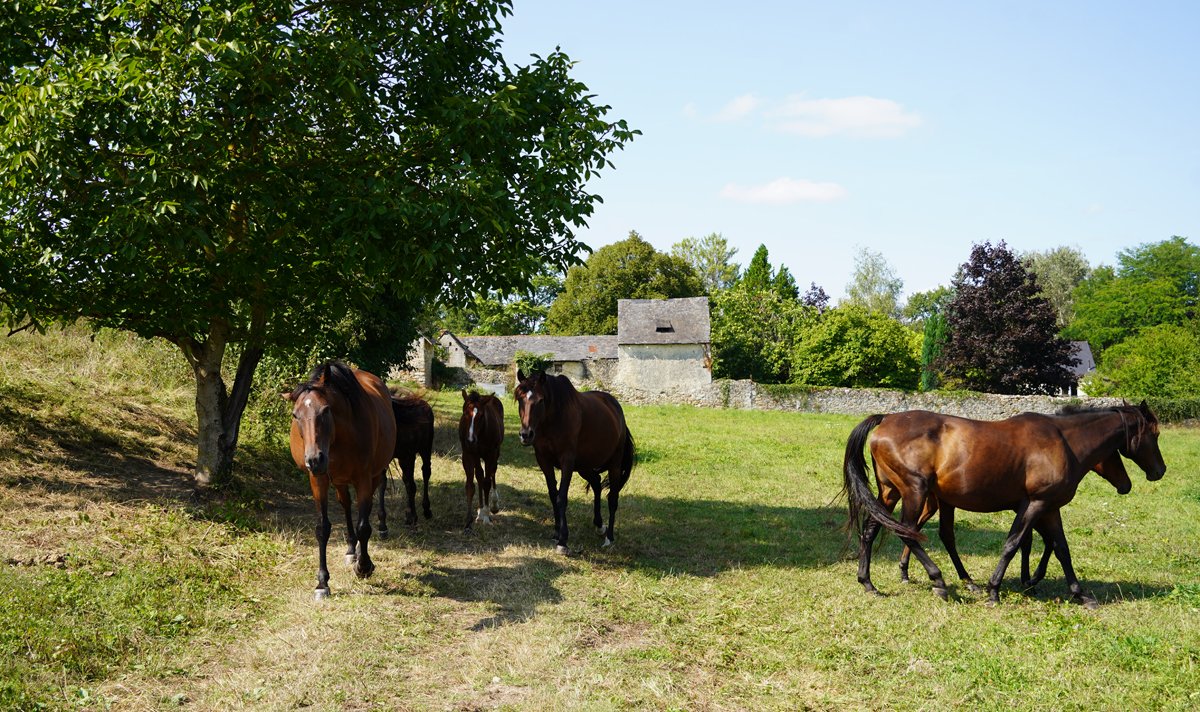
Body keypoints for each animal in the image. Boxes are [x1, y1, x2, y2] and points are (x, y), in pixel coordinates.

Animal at [284, 361, 396, 600]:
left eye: (326, 410)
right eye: (296, 415)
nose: (314, 459)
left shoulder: (364, 478)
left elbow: (364, 526)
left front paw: (364, 567)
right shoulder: (319, 480)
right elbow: (322, 528)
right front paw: (322, 583)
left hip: (373, 475)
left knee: (370, 503)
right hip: (339, 480)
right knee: (345, 505)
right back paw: (352, 549)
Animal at [385, 392, 434, 529]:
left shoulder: (409, 456)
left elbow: (411, 486)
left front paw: (413, 517)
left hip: (425, 448)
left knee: (426, 472)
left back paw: (426, 509)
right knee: (408, 480)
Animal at [459, 389, 504, 532]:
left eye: (482, 415)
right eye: (465, 413)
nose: (470, 440)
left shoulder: (491, 453)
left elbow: (487, 482)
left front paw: (486, 516)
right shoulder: (468, 453)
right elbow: (471, 484)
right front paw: (469, 521)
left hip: (496, 451)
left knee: (493, 472)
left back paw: (493, 505)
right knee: (480, 475)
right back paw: (479, 512)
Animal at [514, 370, 635, 554]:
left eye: (541, 400)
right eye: (520, 398)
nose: (526, 434)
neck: (554, 420)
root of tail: (616, 409)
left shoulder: (567, 462)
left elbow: (561, 497)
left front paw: (563, 541)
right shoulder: (544, 461)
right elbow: (553, 495)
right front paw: (556, 533)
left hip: (614, 465)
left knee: (612, 498)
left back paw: (609, 538)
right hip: (584, 466)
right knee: (597, 484)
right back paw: (599, 525)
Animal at [843, 402, 1166, 606]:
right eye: (1155, 434)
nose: (1159, 471)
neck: (1064, 442)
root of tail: (886, 419)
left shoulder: (1049, 508)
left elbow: (1060, 549)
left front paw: (1080, 594)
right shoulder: (1034, 504)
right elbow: (1014, 544)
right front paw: (995, 590)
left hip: (890, 493)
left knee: (872, 531)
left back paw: (868, 583)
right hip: (914, 491)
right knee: (907, 531)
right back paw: (939, 581)